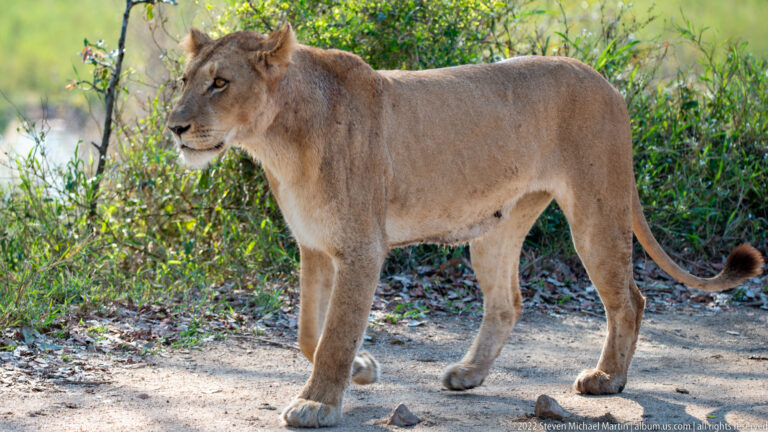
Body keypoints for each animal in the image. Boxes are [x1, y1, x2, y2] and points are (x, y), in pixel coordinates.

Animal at [167, 24, 764, 427]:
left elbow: (334, 333)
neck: (279, 141)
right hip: (498, 228)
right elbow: (309, 334)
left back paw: (607, 380)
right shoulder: (315, 247)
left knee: (630, 298)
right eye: (185, 80)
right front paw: (362, 370)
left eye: (220, 83)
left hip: (597, 211)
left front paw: (317, 402)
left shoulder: (361, 248)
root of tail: (608, 83)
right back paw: (469, 374)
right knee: (508, 302)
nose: (174, 127)